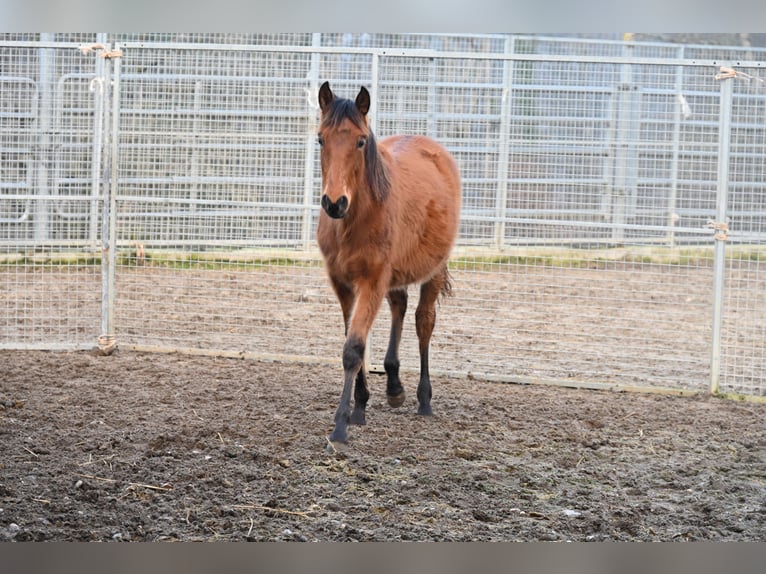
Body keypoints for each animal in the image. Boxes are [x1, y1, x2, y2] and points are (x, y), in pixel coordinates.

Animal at [316, 81, 462, 446]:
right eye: (321, 139)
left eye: (360, 141)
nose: (334, 203)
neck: (355, 220)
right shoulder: (342, 284)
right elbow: (355, 343)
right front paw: (359, 407)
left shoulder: (372, 281)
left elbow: (353, 347)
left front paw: (341, 425)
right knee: (400, 305)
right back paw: (394, 385)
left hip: (433, 270)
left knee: (424, 322)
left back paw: (424, 399)